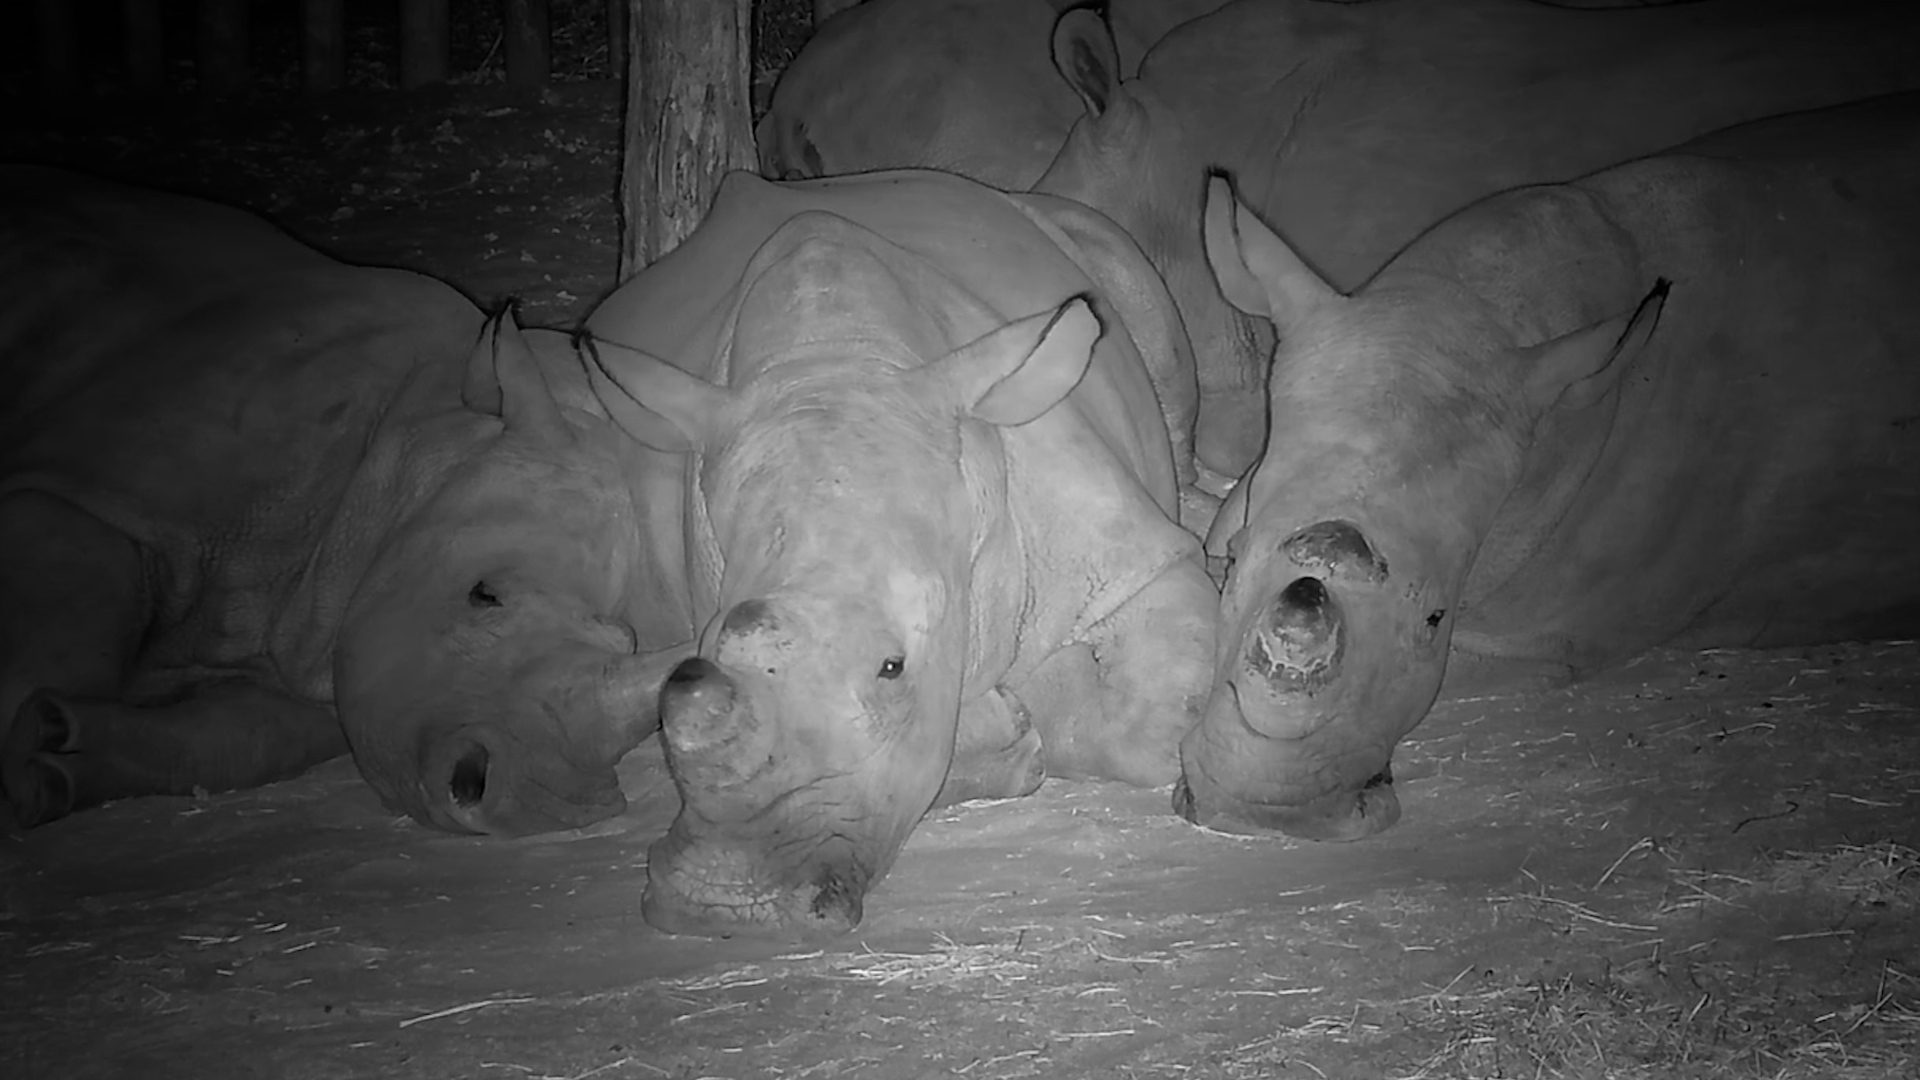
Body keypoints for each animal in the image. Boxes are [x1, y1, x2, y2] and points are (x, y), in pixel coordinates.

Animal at [0, 167, 691, 837]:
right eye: (483, 595)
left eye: (626, 638)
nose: (541, 809)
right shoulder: (90, 490)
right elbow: (41, 650)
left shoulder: (315, 664)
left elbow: (234, 744)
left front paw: (48, 762)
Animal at [581, 169, 1215, 938]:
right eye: (698, 657)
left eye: (893, 668)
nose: (726, 907)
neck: (833, 358)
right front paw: (1010, 723)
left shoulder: (1125, 546)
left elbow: (1161, 697)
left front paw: (1041, 691)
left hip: (1082, 240)